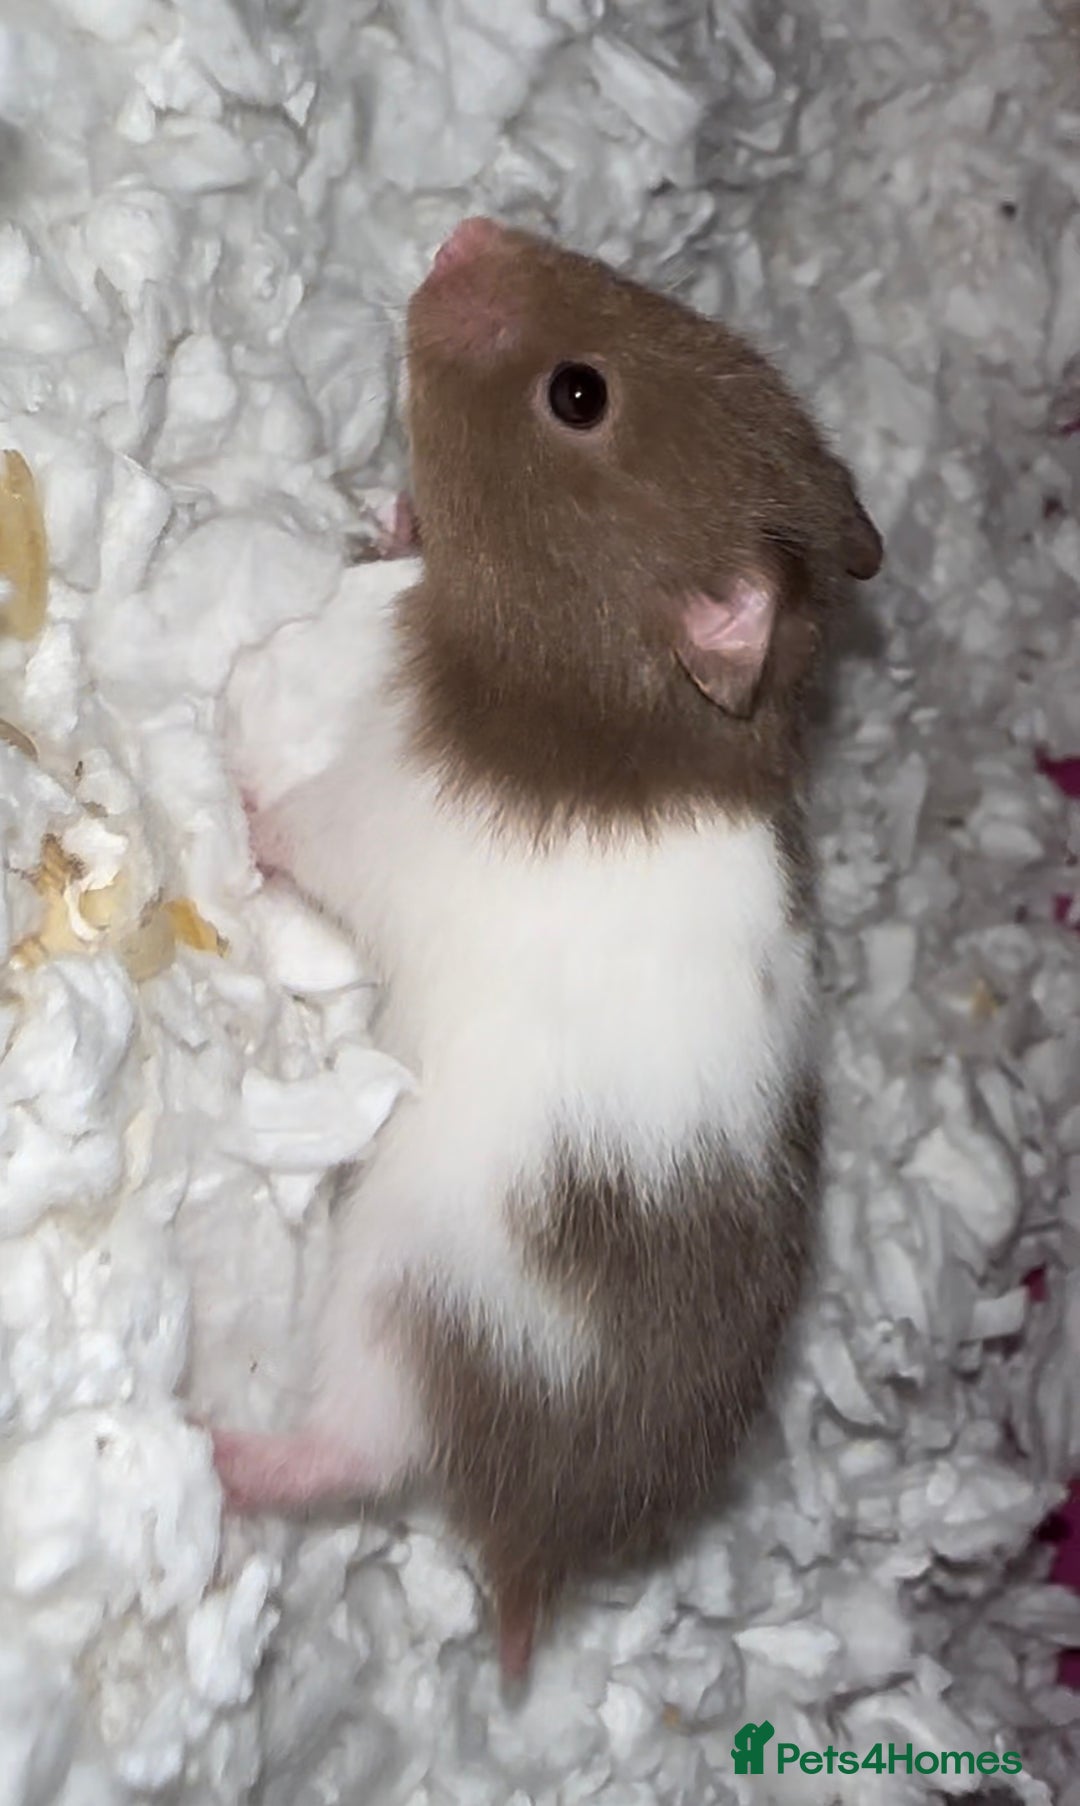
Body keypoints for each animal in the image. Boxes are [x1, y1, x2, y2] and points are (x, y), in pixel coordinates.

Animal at [212, 216, 883, 1678]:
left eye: (580, 396)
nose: (470, 231)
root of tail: (542, 1552)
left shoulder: (379, 818)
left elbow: (302, 826)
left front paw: (235, 809)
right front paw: (393, 520)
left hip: (405, 1292)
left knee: (360, 1446)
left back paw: (222, 1454)